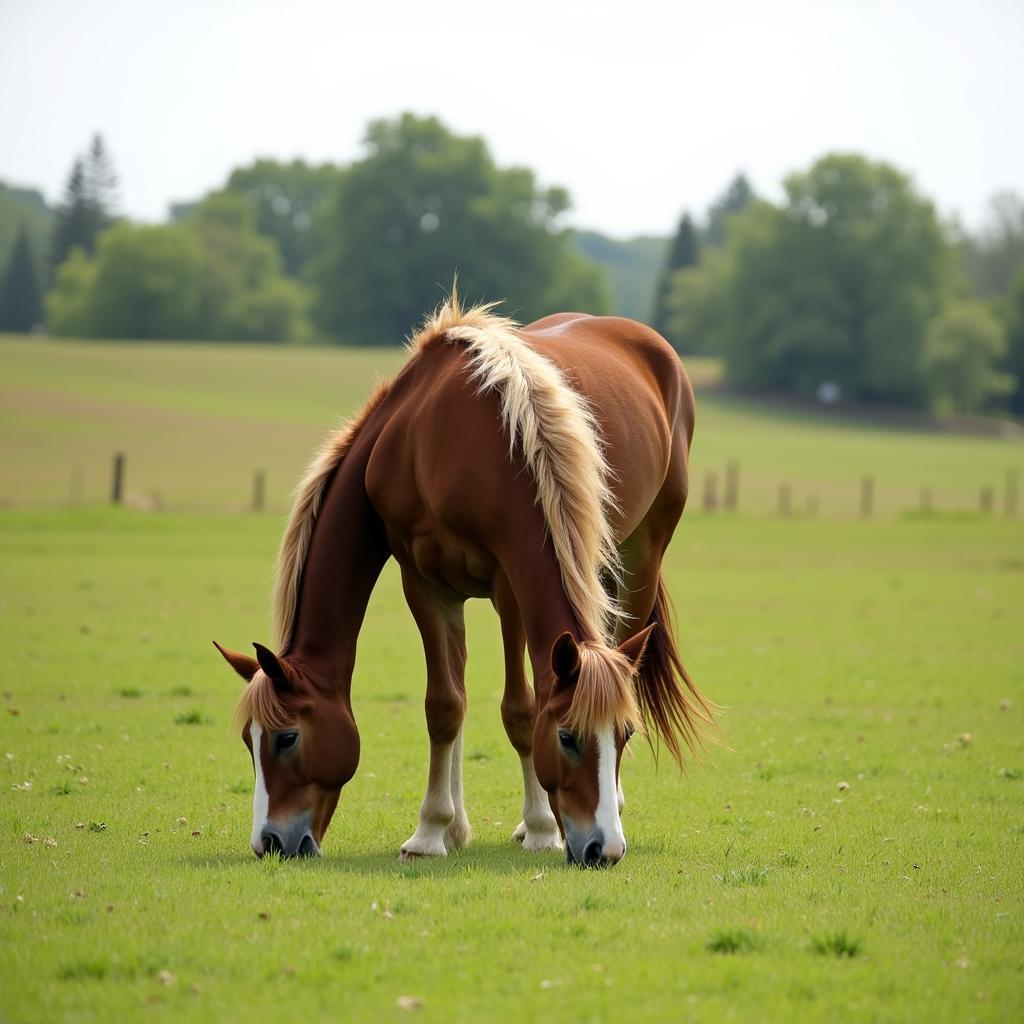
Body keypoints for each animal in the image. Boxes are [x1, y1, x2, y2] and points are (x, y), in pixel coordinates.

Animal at [216, 292, 712, 868]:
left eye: (287, 737)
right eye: (249, 741)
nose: (271, 842)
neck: (436, 439)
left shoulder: (508, 585)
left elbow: (521, 708)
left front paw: (541, 827)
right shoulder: (425, 584)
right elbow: (446, 704)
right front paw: (437, 831)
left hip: (641, 556)